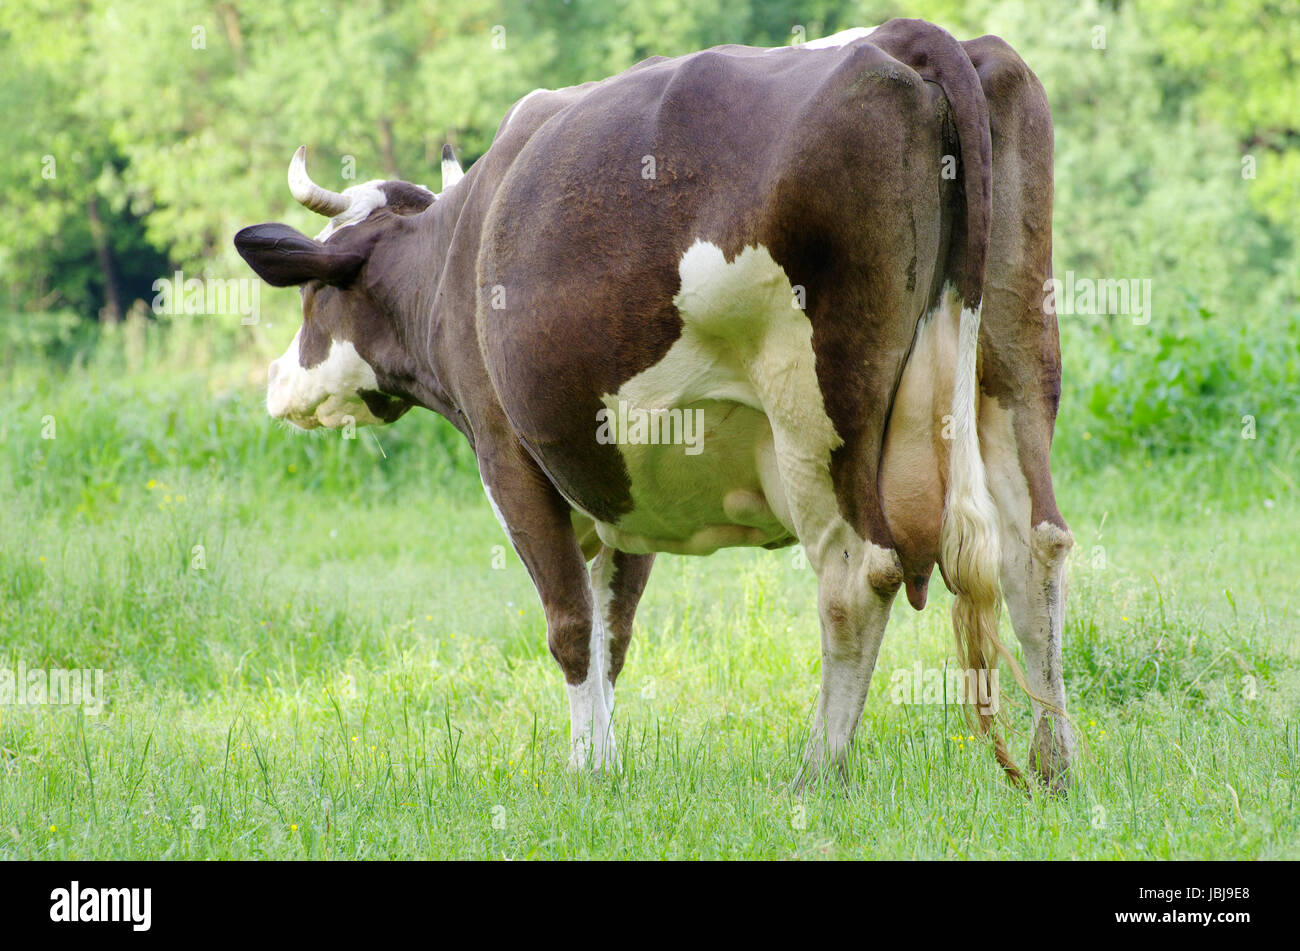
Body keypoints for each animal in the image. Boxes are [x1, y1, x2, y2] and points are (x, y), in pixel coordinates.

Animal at [235, 18, 1076, 791]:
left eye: (312, 295)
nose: (275, 380)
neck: (453, 251)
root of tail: (908, 34)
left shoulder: (508, 456)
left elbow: (572, 625)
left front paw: (586, 770)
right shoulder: (626, 482)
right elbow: (613, 631)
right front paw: (603, 759)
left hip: (819, 406)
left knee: (856, 575)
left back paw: (816, 774)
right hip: (1013, 359)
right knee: (1034, 544)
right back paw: (1055, 761)